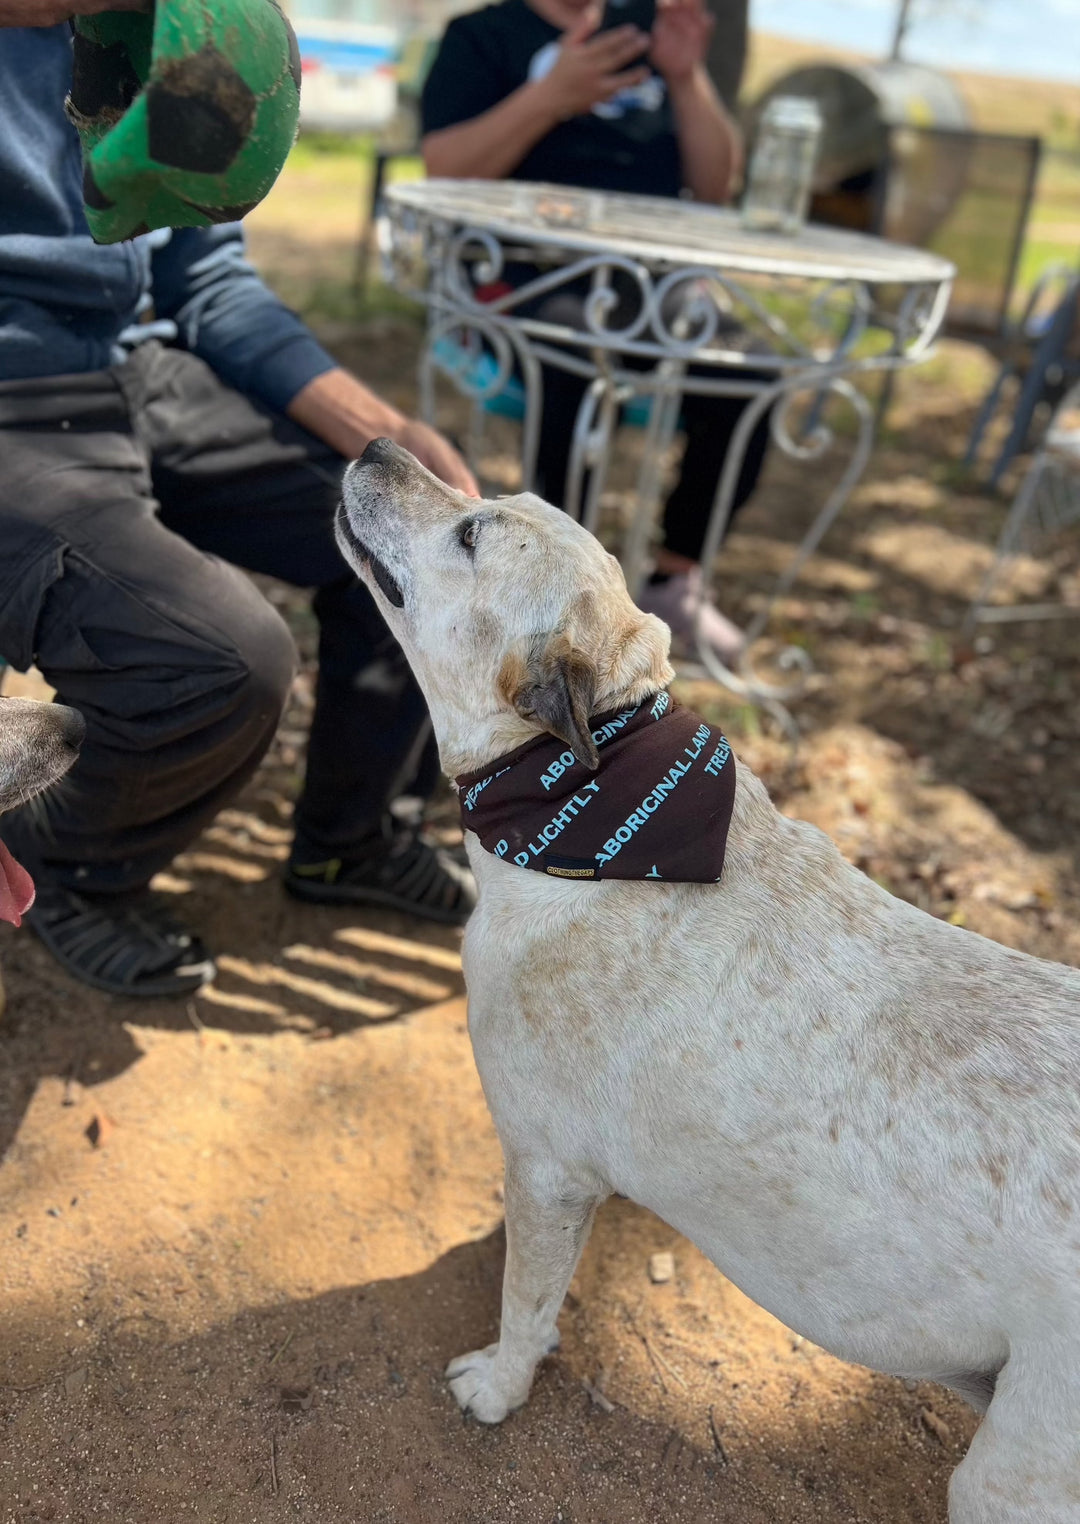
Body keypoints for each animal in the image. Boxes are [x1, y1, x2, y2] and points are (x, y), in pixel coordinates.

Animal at [342, 435, 1078, 1517]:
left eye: (472, 532)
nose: (379, 441)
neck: (590, 811)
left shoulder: (547, 1165)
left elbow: (526, 1301)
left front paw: (501, 1385)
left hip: (1010, 1475)